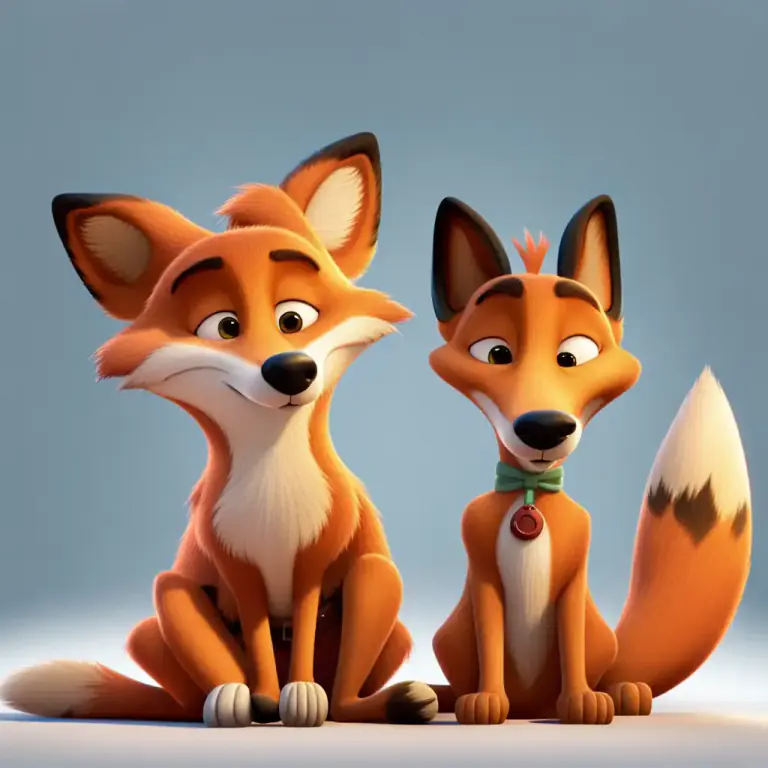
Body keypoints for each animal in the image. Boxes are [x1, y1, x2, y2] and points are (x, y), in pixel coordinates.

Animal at [0, 132, 440, 728]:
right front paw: (270, 698)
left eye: (294, 318)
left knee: (347, 691)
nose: (290, 370)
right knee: (191, 677)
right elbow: (254, 641)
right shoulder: (237, 568)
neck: (275, 478)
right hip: (161, 614)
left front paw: (301, 696)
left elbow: (304, 637)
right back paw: (232, 699)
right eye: (224, 326)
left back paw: (389, 699)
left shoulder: (313, 563)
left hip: (379, 587)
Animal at [426, 195, 752, 725]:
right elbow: (491, 637)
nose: (544, 426)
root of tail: (530, 704)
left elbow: (571, 640)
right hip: (449, 635)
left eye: (574, 355)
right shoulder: (483, 576)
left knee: (606, 667)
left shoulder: (575, 578)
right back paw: (445, 695)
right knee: (462, 674)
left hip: (601, 637)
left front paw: (582, 701)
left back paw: (622, 693)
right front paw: (485, 700)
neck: (530, 494)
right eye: (494, 353)